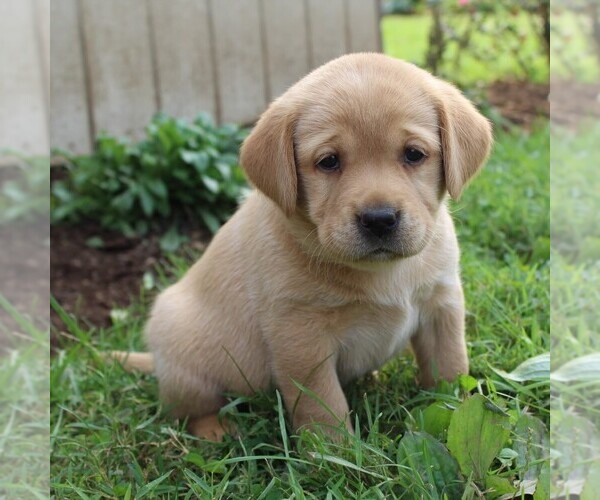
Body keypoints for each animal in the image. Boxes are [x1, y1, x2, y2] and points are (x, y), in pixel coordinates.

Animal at [113, 51, 492, 442]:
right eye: (329, 161)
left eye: (414, 154)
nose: (379, 219)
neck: (384, 272)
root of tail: (157, 361)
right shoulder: (301, 337)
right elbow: (323, 407)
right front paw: (335, 451)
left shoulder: (441, 306)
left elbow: (450, 366)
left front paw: (454, 408)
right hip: (187, 364)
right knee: (190, 410)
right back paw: (216, 430)